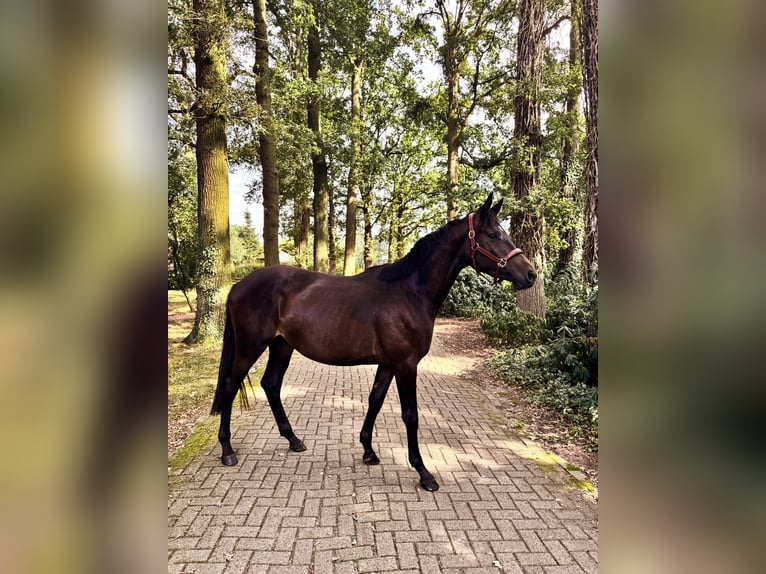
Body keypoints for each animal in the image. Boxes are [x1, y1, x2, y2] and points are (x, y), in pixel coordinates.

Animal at [210, 193, 536, 491]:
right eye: (493, 235)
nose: (531, 274)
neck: (409, 292)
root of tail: (238, 286)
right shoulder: (406, 365)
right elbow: (410, 415)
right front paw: (423, 472)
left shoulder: (388, 364)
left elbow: (375, 400)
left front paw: (368, 450)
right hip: (250, 347)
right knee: (230, 385)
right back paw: (227, 451)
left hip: (281, 346)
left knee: (271, 384)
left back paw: (293, 439)